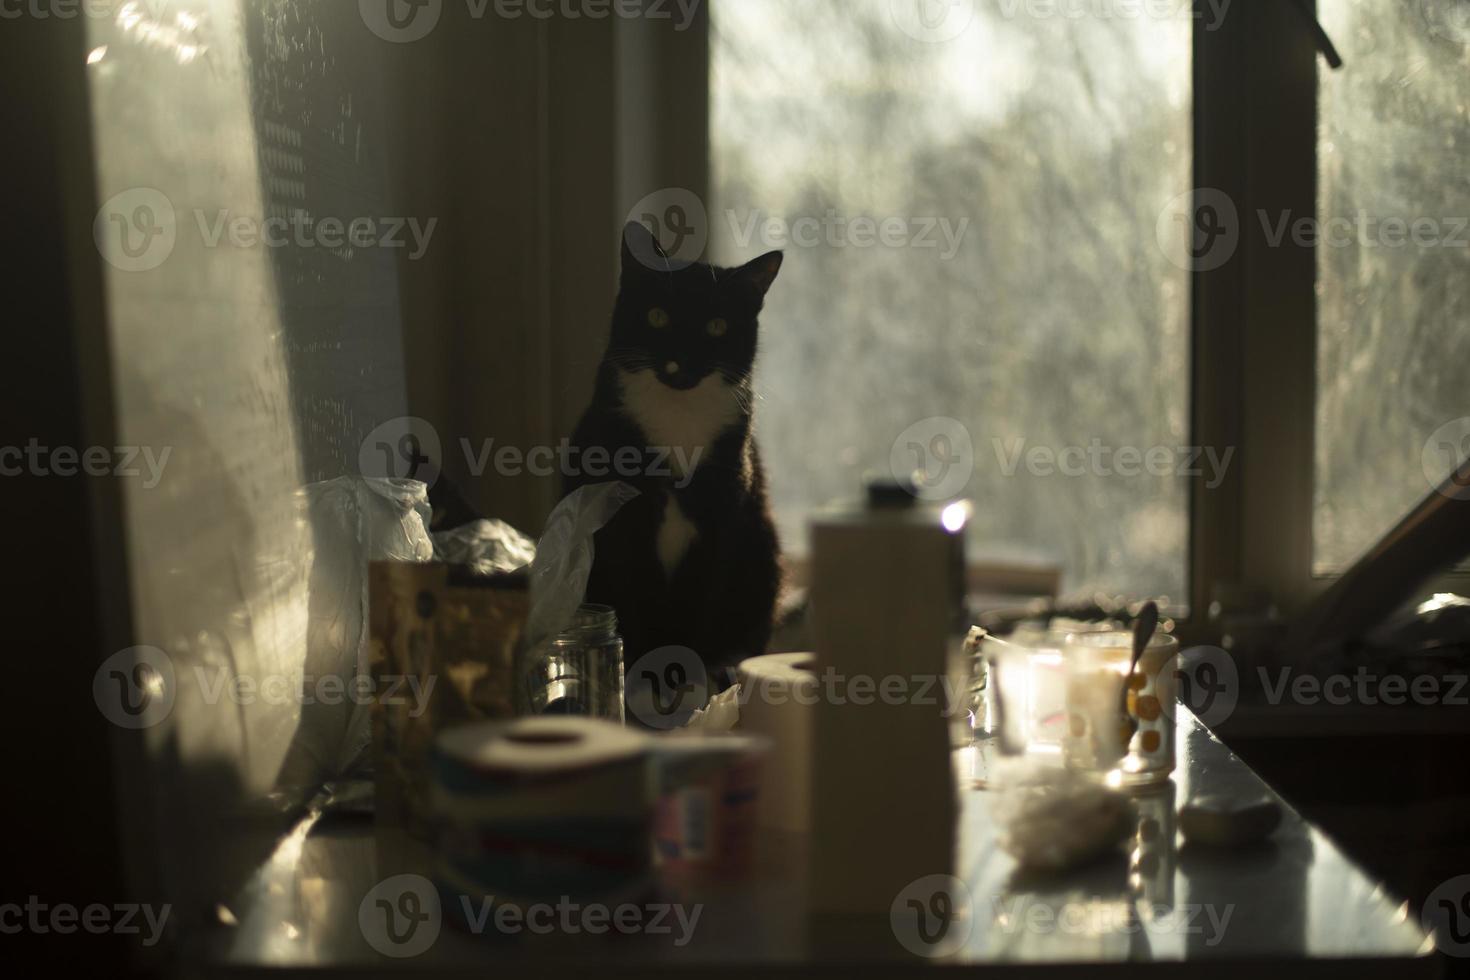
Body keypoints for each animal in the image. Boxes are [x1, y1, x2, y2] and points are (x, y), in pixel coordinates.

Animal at [561, 221, 787, 681]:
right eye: (657, 316)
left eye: (717, 326)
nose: (682, 362)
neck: (678, 416)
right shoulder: (624, 515)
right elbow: (635, 592)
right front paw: (643, 670)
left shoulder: (723, 507)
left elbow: (699, 595)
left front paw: (686, 668)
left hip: (762, 549)